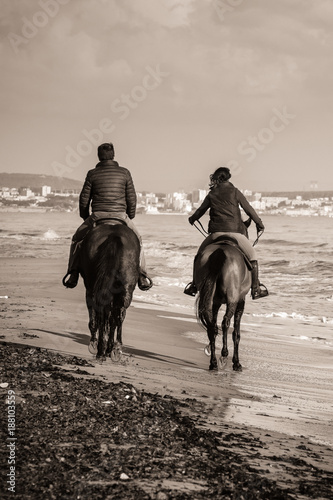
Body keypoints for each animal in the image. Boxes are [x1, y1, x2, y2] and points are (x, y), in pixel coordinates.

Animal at [78, 223, 139, 360]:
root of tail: (114, 236)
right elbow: (113, 319)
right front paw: (109, 347)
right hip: (126, 289)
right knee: (118, 316)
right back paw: (115, 348)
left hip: (94, 287)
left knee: (102, 314)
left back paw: (100, 349)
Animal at [193, 238, 250, 372]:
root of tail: (219, 252)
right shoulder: (240, 301)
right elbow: (236, 334)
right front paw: (236, 363)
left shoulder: (216, 302)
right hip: (232, 299)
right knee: (225, 322)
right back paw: (224, 354)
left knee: (211, 327)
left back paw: (213, 363)